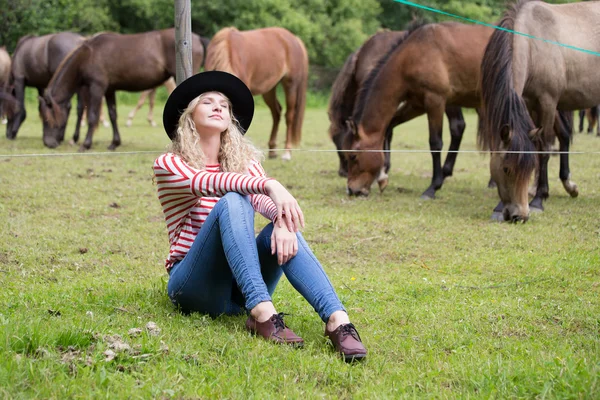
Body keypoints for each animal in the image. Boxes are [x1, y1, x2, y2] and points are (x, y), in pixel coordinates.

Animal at [40, 28, 204, 150]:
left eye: (47, 119)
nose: (49, 143)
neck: (89, 54)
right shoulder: (109, 90)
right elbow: (113, 115)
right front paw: (114, 143)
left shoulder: (96, 88)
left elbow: (92, 116)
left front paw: (86, 144)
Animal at [206, 25, 310, 161]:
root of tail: (294, 39)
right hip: (269, 89)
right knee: (276, 113)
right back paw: (272, 151)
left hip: (290, 85)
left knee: (289, 116)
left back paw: (287, 153)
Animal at [342, 22, 492, 198]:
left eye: (353, 156)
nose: (352, 190)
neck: (414, 54)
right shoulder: (416, 105)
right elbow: (389, 127)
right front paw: (383, 175)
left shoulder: (435, 100)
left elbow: (435, 143)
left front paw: (433, 187)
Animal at [476, 0, 596, 222]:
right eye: (506, 169)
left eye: (529, 168)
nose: (519, 215)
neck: (534, 44)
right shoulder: (531, 104)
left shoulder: (548, 102)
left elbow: (545, 150)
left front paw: (539, 199)